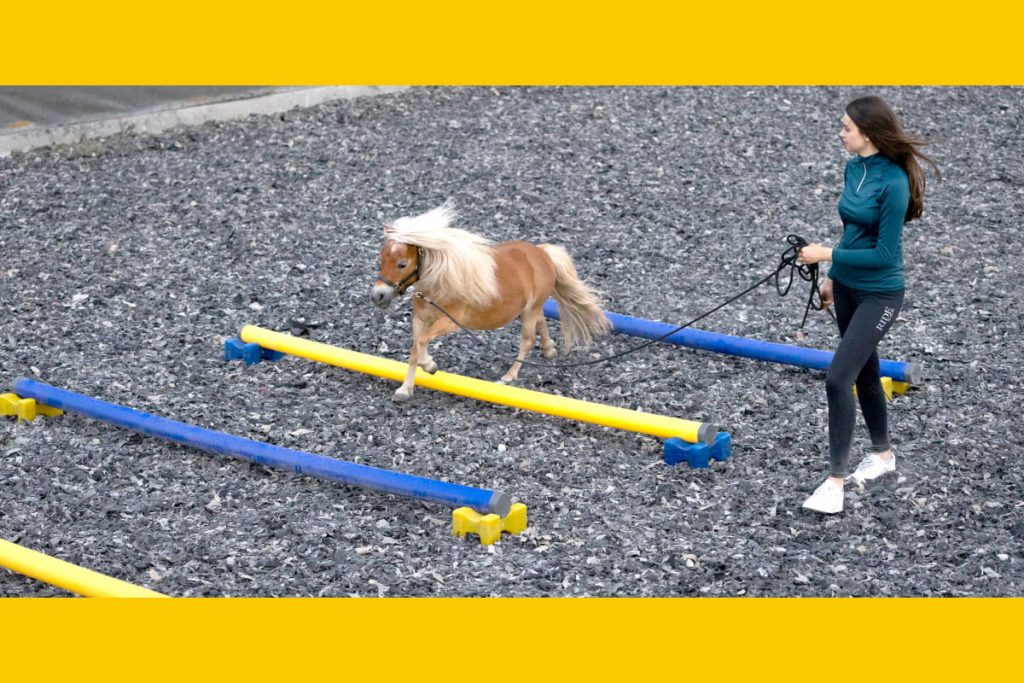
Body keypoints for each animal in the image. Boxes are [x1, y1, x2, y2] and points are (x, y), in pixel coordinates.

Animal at [370, 202, 611, 402]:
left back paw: (508, 376)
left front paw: (430, 366)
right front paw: (405, 389)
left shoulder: (450, 322)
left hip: (530, 311)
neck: (439, 283)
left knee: (527, 340)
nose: (377, 296)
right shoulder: (420, 320)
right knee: (541, 321)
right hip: (530, 309)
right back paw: (549, 350)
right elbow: (415, 349)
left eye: (402, 264)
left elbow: (421, 342)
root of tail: (544, 254)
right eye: (381, 259)